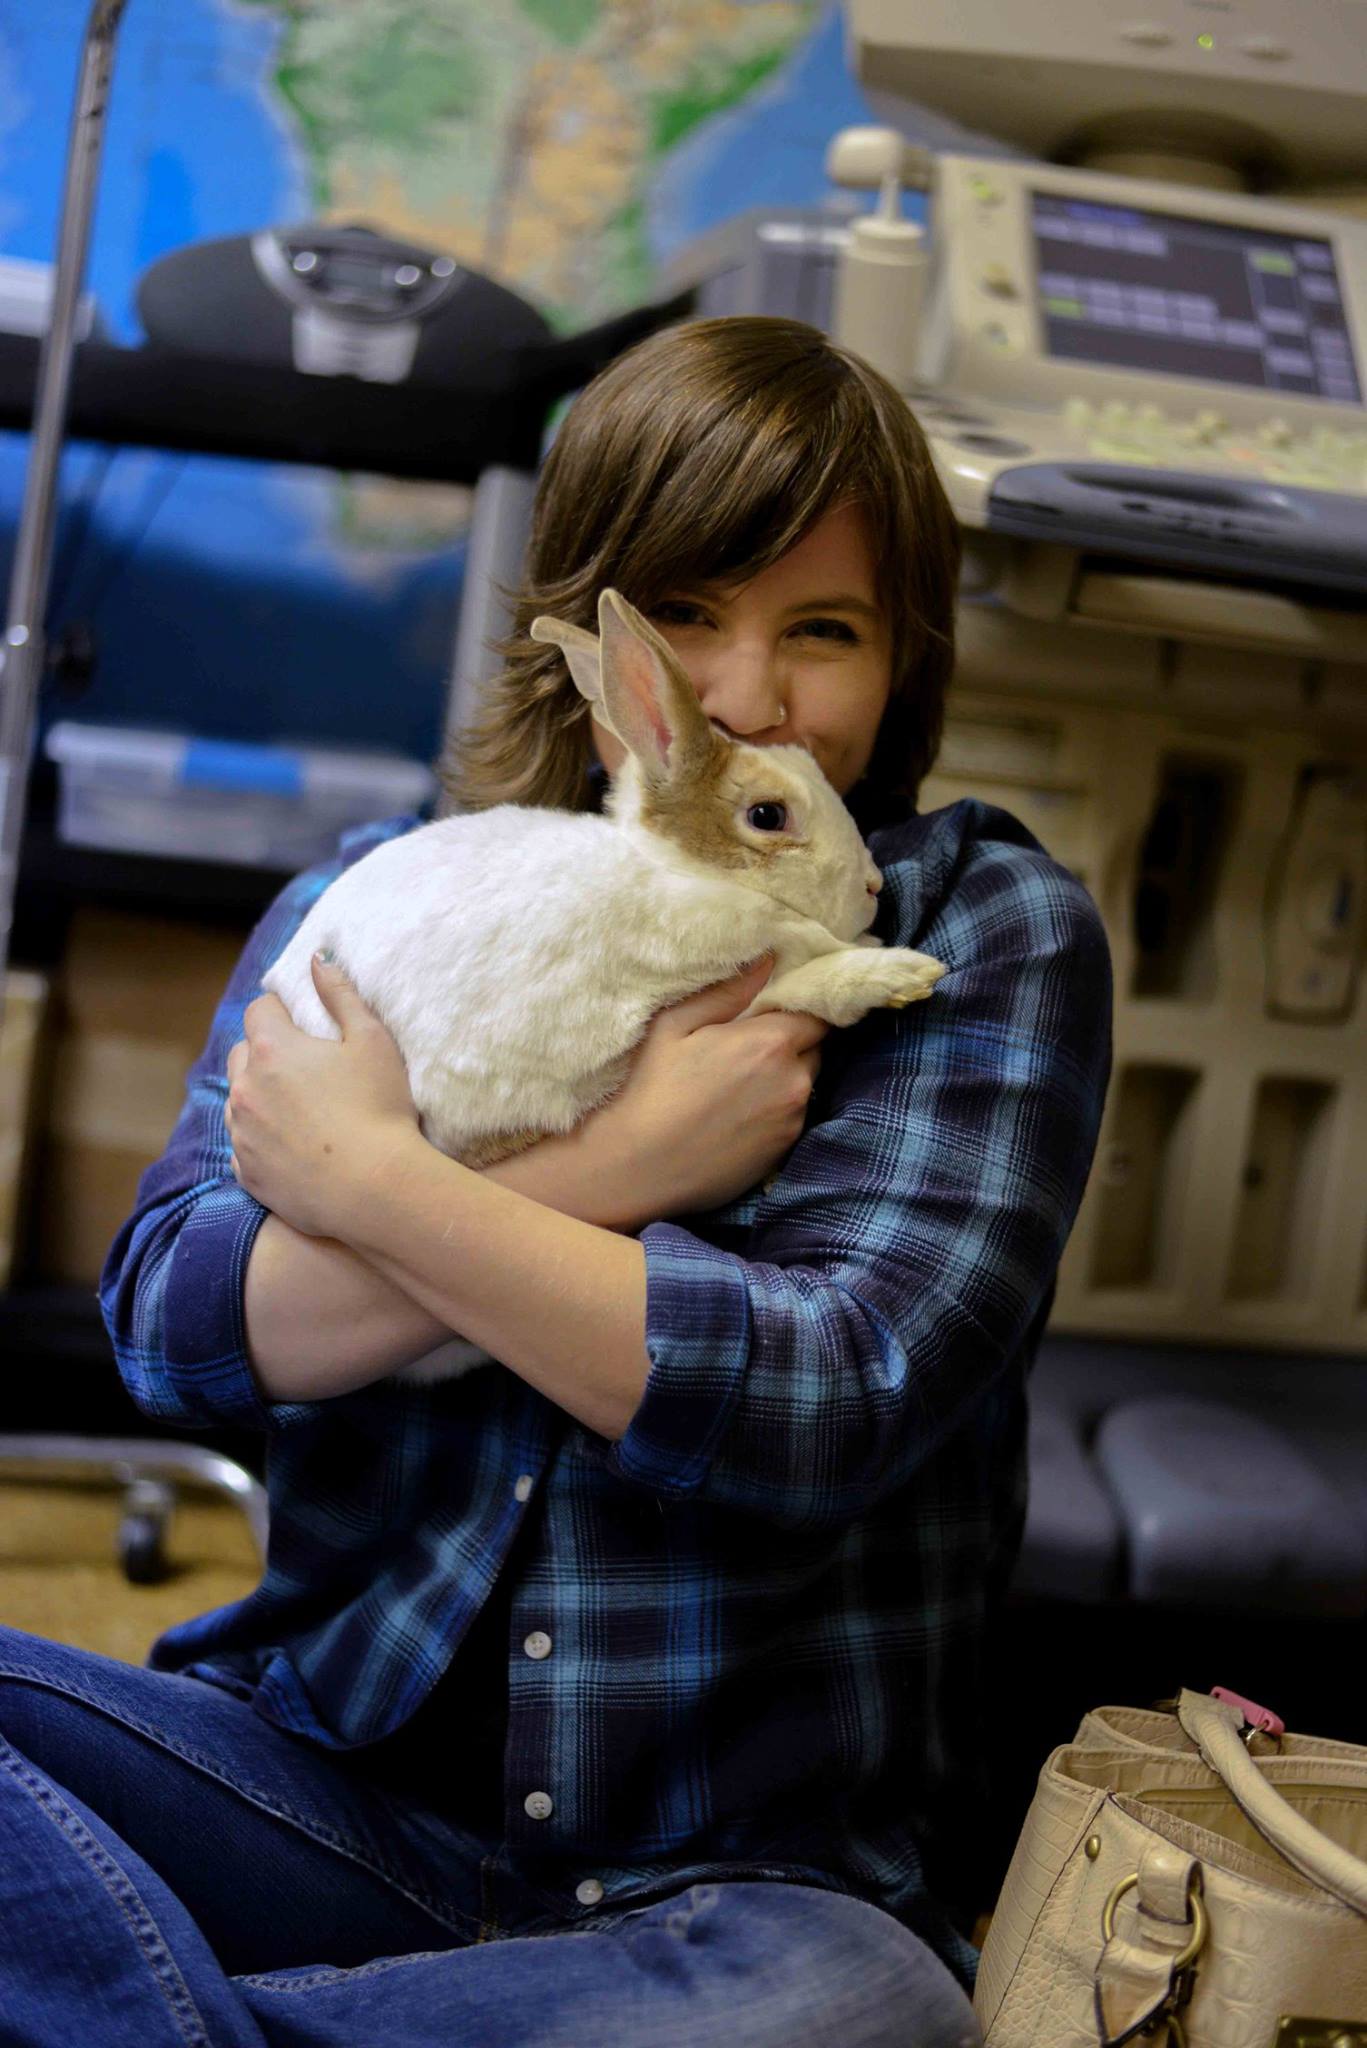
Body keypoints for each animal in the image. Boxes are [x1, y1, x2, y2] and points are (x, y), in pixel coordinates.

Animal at [259, 586, 948, 1384]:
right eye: (767, 816)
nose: (873, 888)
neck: (678, 872)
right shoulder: (708, 986)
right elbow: (798, 983)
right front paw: (897, 970)